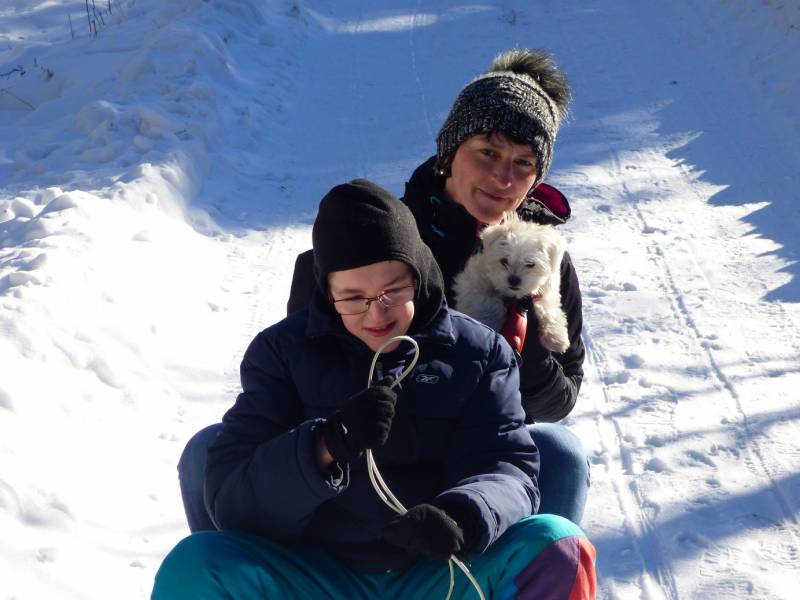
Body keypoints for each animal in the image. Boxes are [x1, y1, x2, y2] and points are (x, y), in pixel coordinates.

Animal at [453, 213, 570, 353]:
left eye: (530, 264)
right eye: (504, 261)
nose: (513, 280)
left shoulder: (546, 290)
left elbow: (547, 307)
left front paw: (556, 338)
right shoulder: (471, 284)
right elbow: (489, 301)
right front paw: (488, 323)